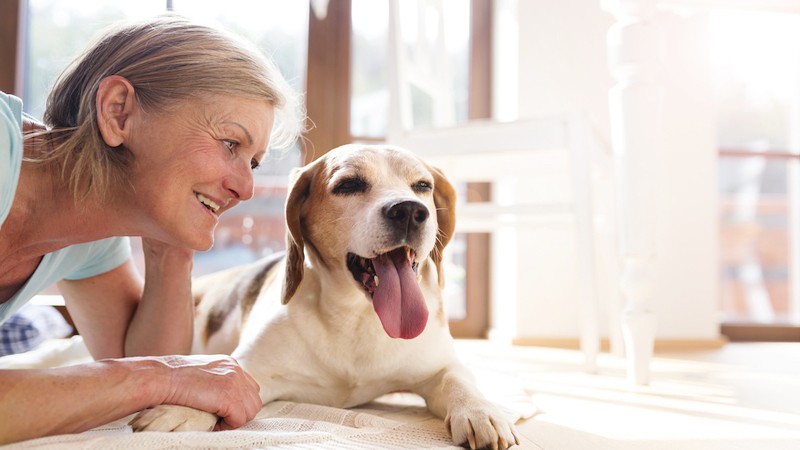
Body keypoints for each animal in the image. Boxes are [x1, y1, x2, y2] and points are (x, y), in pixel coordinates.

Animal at [130, 145, 520, 450]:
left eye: (423, 186)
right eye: (349, 185)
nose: (410, 210)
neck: (357, 317)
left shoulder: (439, 366)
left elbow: (458, 380)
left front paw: (481, 412)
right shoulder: (254, 367)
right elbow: (222, 377)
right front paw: (183, 409)